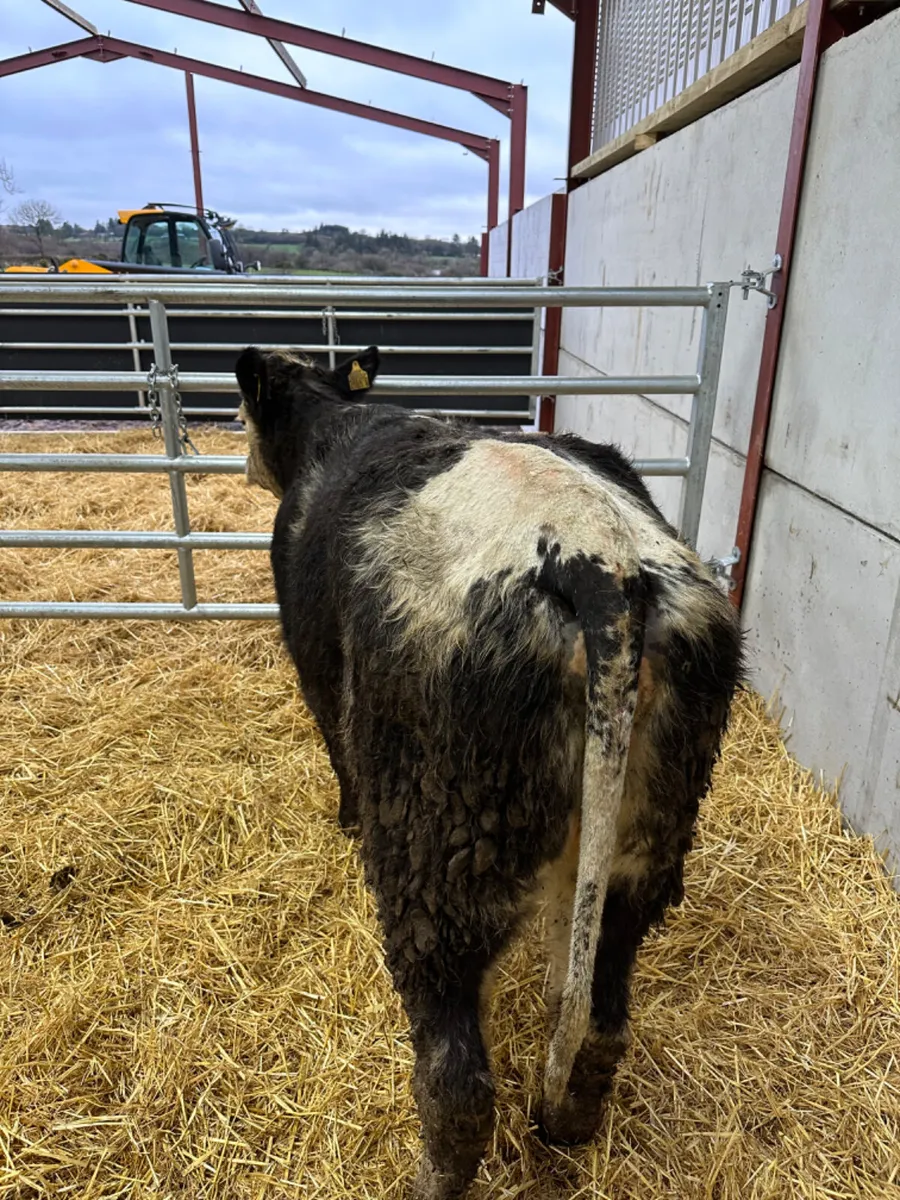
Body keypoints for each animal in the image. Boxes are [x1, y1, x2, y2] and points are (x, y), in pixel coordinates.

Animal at [235, 344, 743, 1200]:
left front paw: (343, 818)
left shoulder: (318, 670)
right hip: (644, 849)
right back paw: (569, 1124)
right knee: (599, 1017)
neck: (331, 422)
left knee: (457, 1080)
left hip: (439, 855)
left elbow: (337, 755)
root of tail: (601, 568)